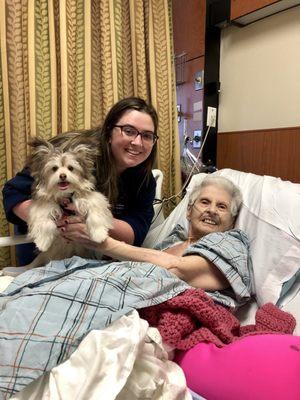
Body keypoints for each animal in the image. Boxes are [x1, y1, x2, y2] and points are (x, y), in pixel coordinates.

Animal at [24, 136, 113, 270]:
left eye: (70, 168)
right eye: (54, 168)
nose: (62, 176)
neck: (65, 195)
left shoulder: (94, 200)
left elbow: (96, 215)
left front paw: (99, 235)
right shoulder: (41, 207)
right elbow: (44, 221)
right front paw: (43, 242)